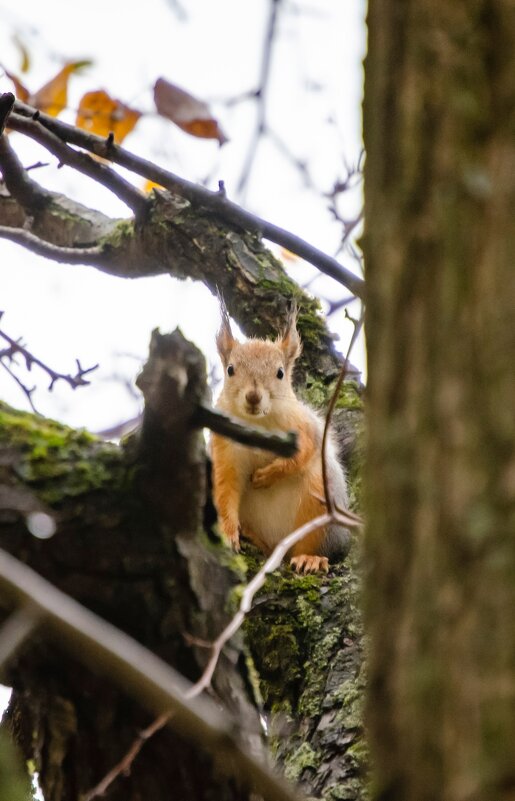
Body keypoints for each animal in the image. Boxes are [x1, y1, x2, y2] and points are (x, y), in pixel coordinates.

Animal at [210, 304, 350, 572]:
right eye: (231, 369)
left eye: (280, 373)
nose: (253, 397)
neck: (256, 423)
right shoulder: (224, 449)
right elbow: (225, 489)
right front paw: (227, 532)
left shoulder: (305, 428)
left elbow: (303, 454)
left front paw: (267, 475)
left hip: (319, 499)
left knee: (311, 542)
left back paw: (310, 558)